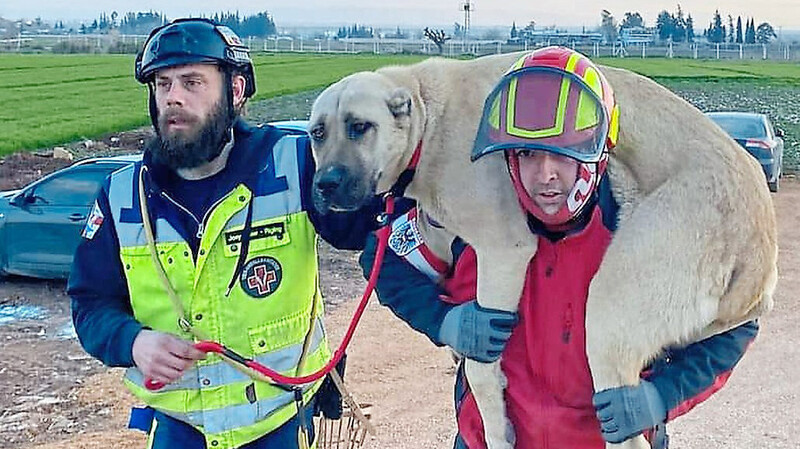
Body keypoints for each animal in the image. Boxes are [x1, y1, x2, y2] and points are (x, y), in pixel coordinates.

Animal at [306, 53, 776, 448]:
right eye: (317, 133)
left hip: (611, 309)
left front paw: (497, 429)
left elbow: (479, 369)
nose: (324, 184)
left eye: (360, 126)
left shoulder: (505, 251)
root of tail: (760, 251)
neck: (429, 115)